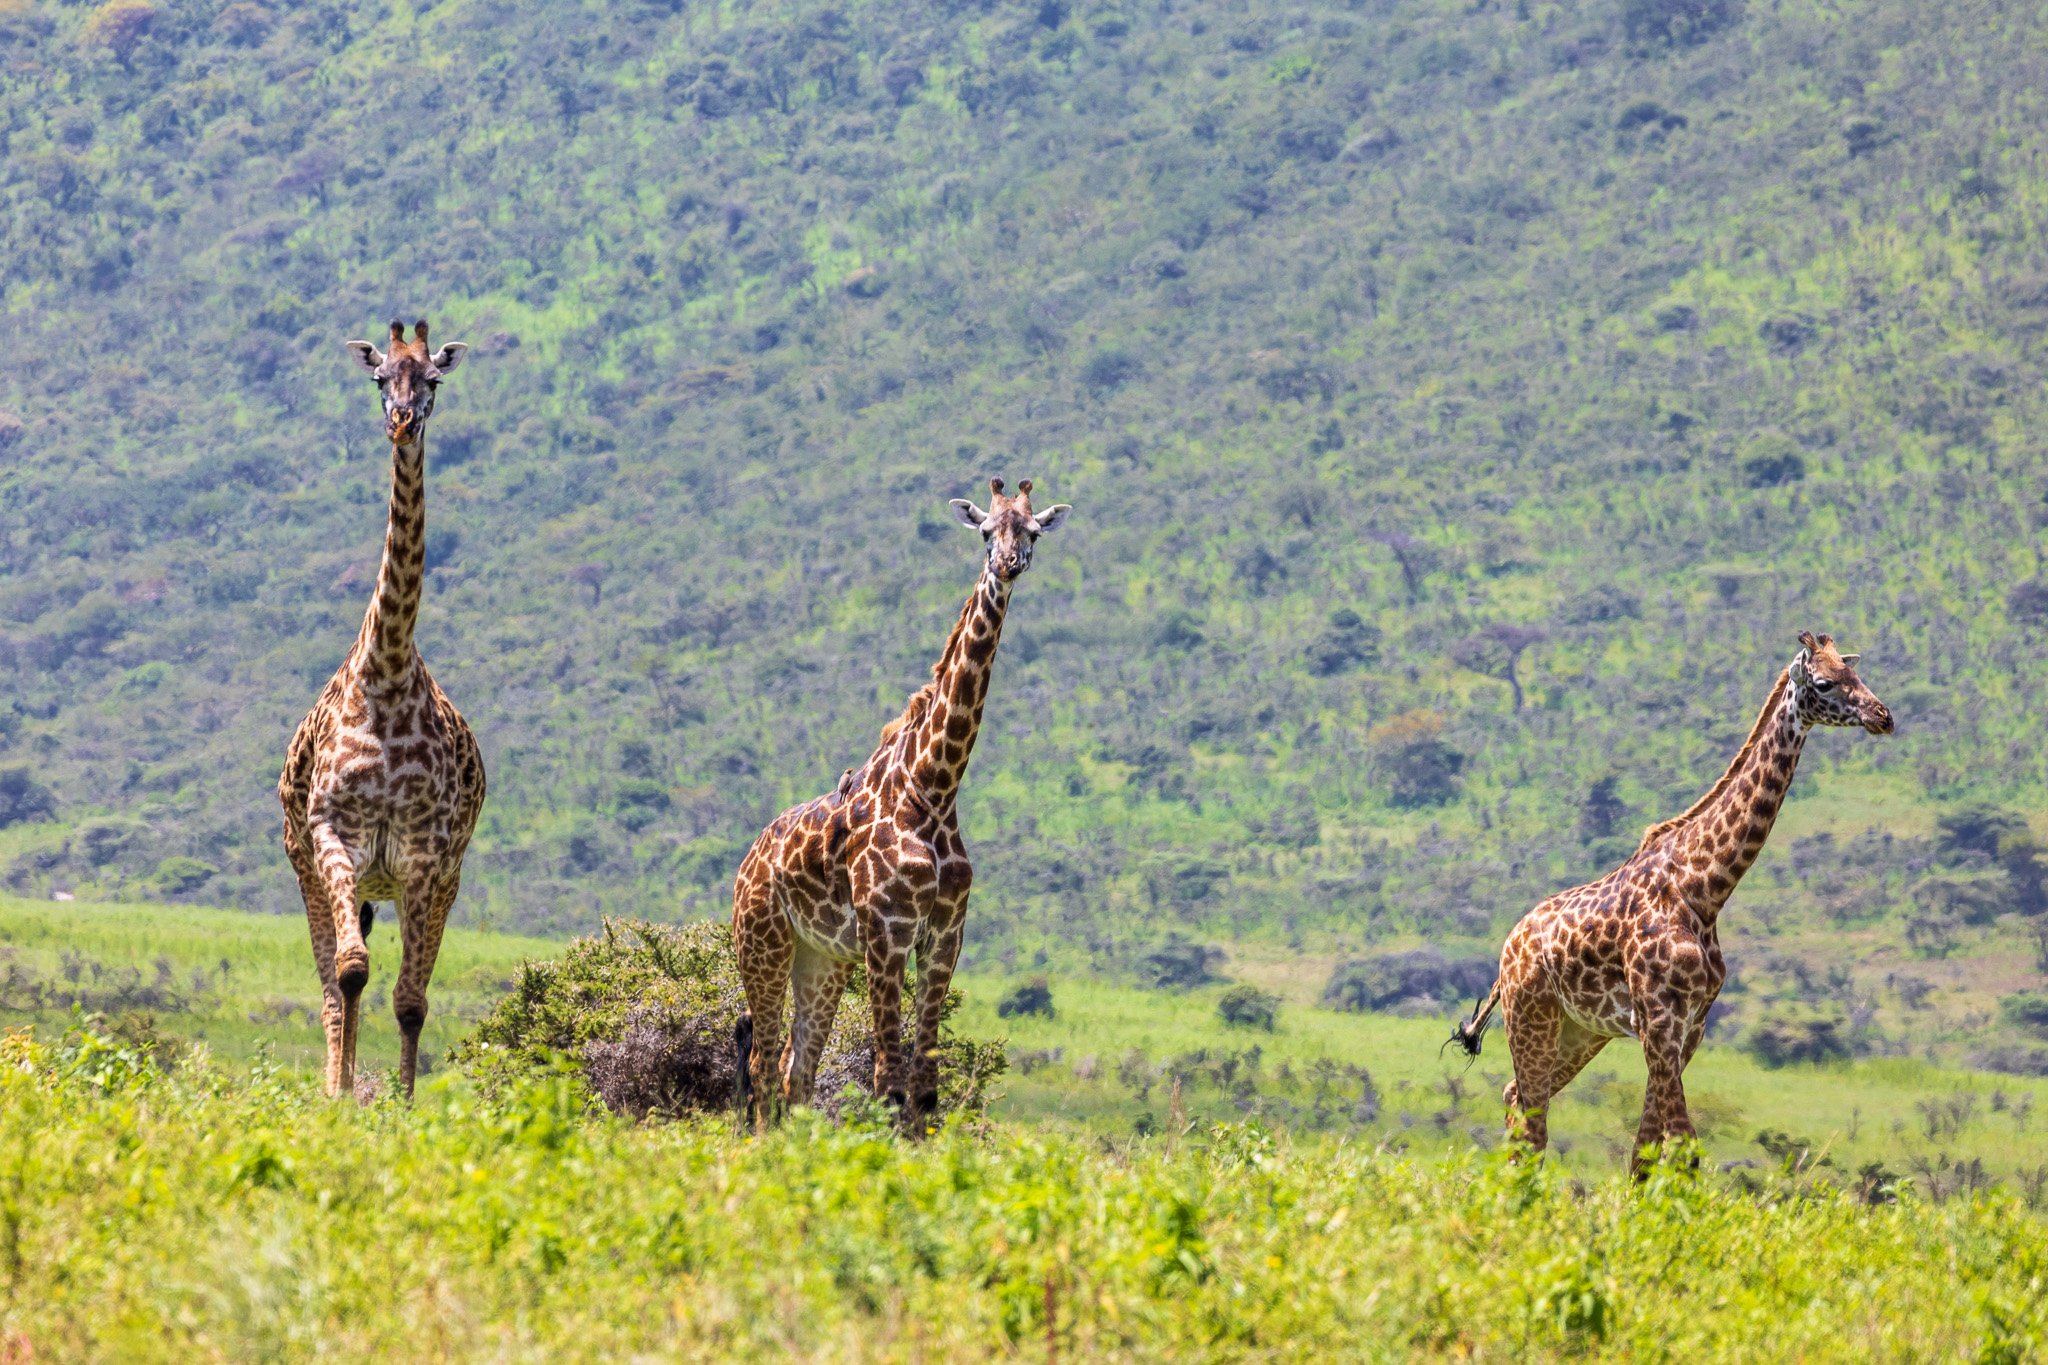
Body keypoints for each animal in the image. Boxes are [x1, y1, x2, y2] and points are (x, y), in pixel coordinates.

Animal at [276, 317, 483, 1096]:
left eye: (433, 379)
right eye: (378, 378)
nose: (401, 420)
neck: (388, 670)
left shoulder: (425, 854)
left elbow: (411, 999)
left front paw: (401, 1100)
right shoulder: (333, 834)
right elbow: (349, 973)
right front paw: (340, 1095)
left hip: (438, 878)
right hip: (307, 867)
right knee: (335, 982)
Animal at [733, 478, 1073, 1129]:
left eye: (1033, 532)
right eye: (986, 531)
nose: (1009, 564)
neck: (934, 786)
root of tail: (746, 862)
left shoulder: (944, 933)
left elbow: (924, 1085)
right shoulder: (887, 928)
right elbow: (887, 1081)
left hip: (822, 958)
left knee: (796, 1066)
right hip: (761, 942)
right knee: (763, 1062)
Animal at [1449, 630, 1892, 1178]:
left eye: (1857, 674)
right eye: (1827, 682)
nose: (1883, 716)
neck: (1704, 889)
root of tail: (1507, 952)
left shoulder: (1690, 1026)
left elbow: (1645, 1152)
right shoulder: (1659, 1022)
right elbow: (1683, 1145)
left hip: (1580, 1032)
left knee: (1516, 1100)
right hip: (1532, 1017)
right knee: (1532, 1124)